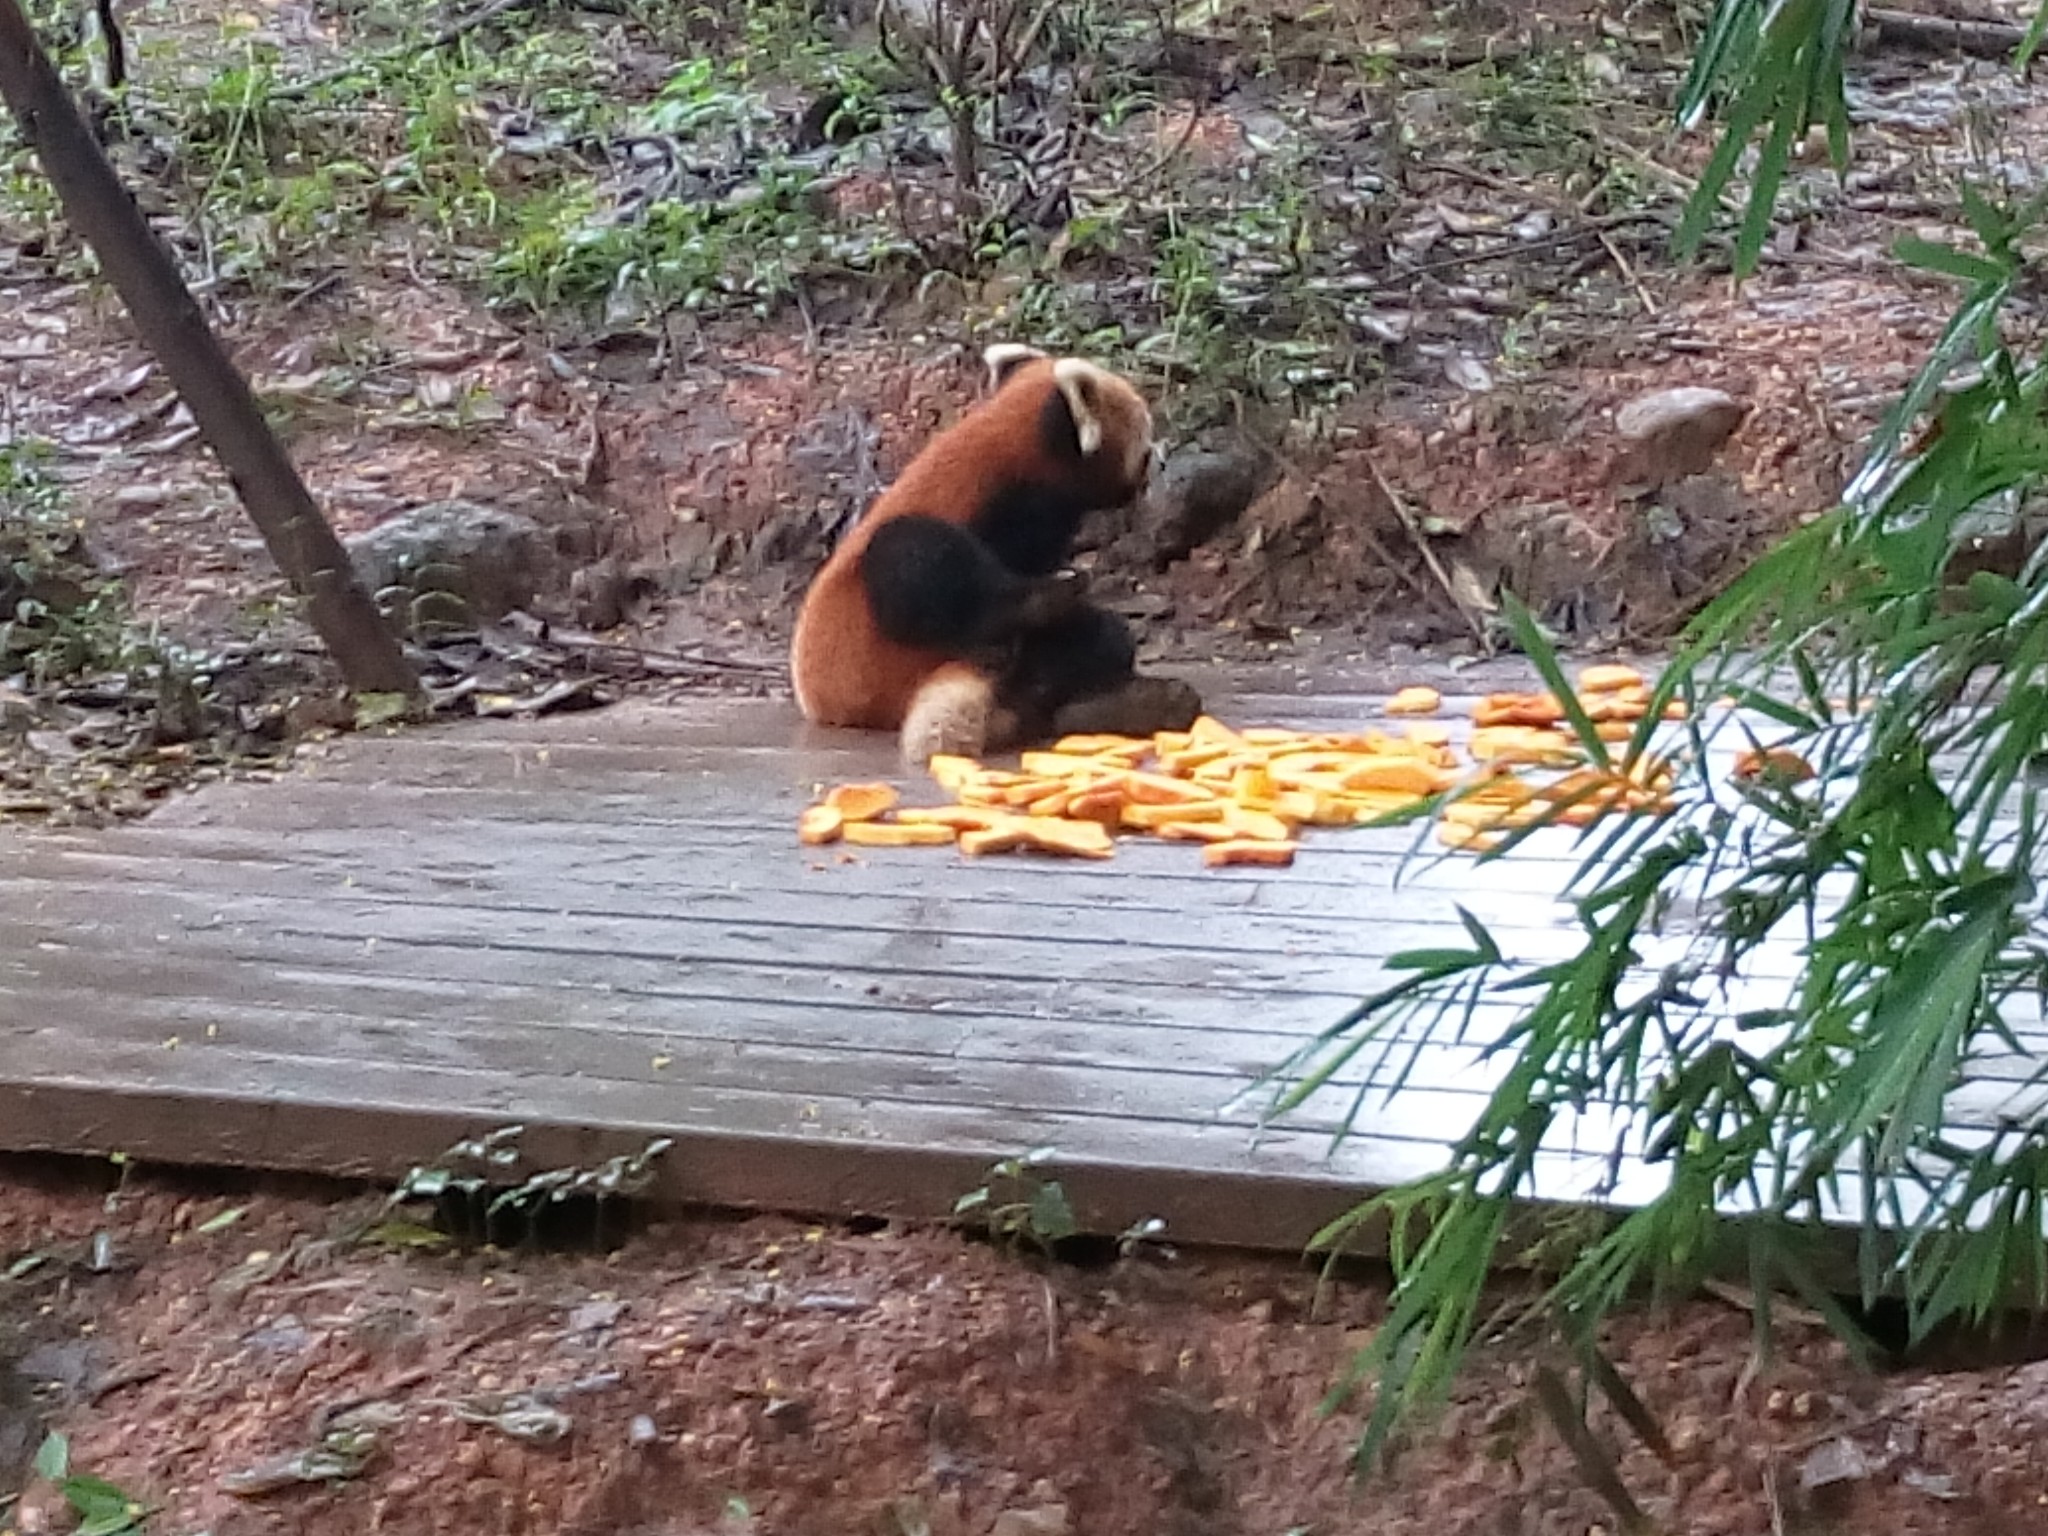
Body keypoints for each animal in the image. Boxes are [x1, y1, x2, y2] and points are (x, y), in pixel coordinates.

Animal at [786, 344, 1196, 765]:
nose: (1160, 462)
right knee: (907, 553)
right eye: (1145, 443)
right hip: (873, 655)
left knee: (1091, 645)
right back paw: (1043, 605)